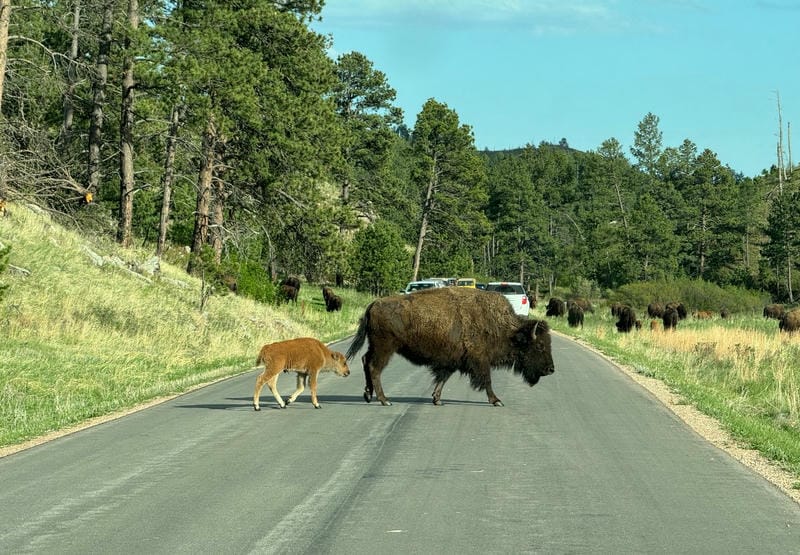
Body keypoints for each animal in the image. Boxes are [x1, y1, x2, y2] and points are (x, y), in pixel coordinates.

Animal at [346, 286, 552, 408]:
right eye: (540, 346)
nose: (551, 369)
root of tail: (374, 304)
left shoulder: (453, 360)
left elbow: (442, 378)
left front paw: (437, 399)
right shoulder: (480, 361)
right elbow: (487, 380)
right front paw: (497, 401)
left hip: (376, 346)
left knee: (365, 361)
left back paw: (368, 395)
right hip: (385, 347)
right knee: (374, 367)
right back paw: (384, 400)